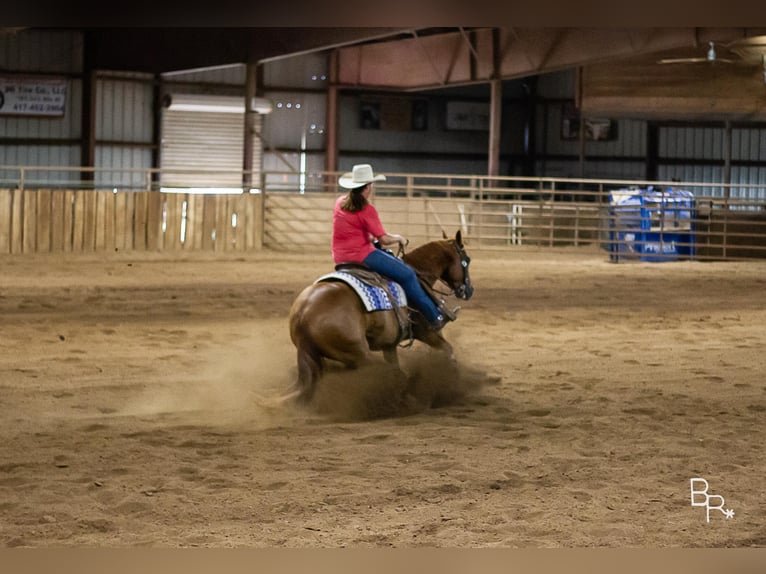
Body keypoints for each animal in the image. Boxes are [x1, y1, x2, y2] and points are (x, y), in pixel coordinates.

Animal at [284, 230, 474, 404]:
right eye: (467, 260)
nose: (469, 290)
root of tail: (302, 315)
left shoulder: (389, 345)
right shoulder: (427, 332)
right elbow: (448, 351)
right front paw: (454, 386)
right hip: (358, 353)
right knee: (388, 373)